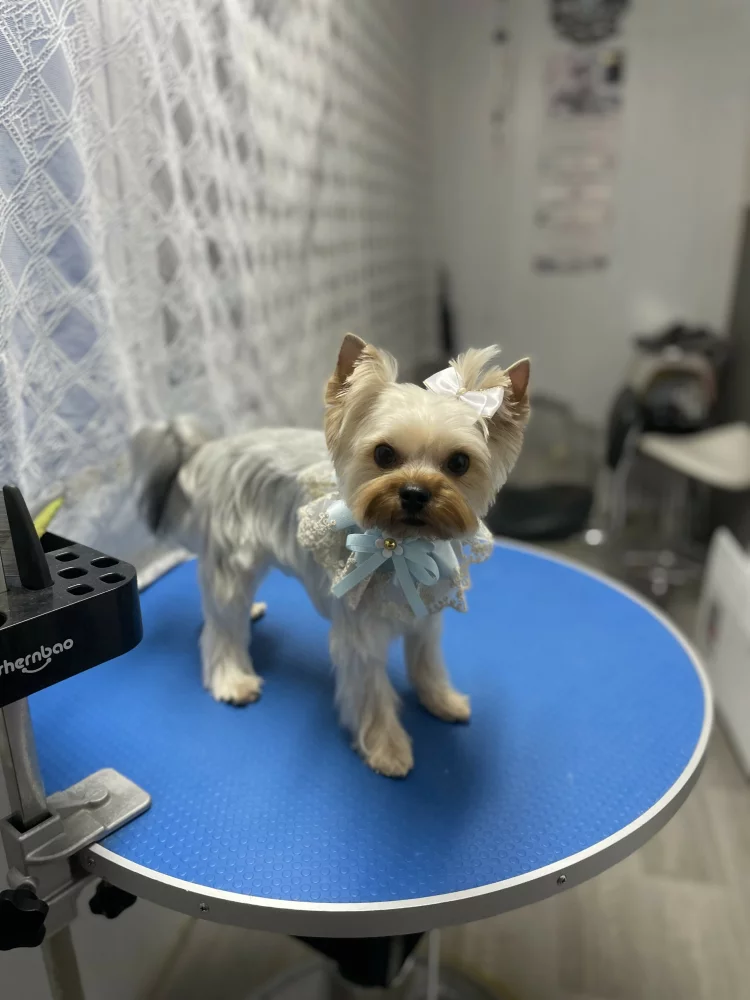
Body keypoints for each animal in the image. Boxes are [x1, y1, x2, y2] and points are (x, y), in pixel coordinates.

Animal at [133, 335, 530, 776]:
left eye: (459, 462)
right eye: (384, 454)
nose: (414, 493)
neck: (403, 545)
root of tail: (211, 451)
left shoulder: (427, 614)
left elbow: (427, 663)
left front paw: (441, 700)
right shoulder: (360, 633)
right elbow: (371, 693)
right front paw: (387, 749)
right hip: (231, 560)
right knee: (221, 627)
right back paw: (232, 680)